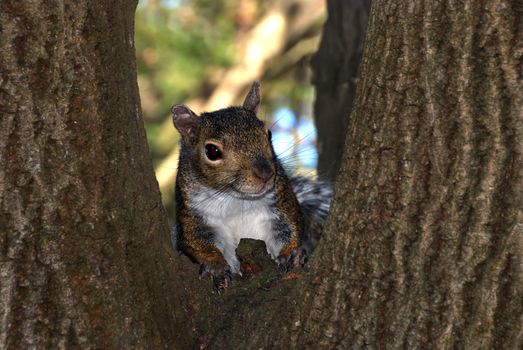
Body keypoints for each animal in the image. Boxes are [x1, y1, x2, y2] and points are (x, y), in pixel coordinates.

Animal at [174, 80, 334, 284]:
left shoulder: (282, 200)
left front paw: (292, 255)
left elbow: (291, 227)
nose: (266, 174)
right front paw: (215, 266)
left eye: (269, 134)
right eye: (212, 151)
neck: (235, 199)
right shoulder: (192, 214)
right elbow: (195, 242)